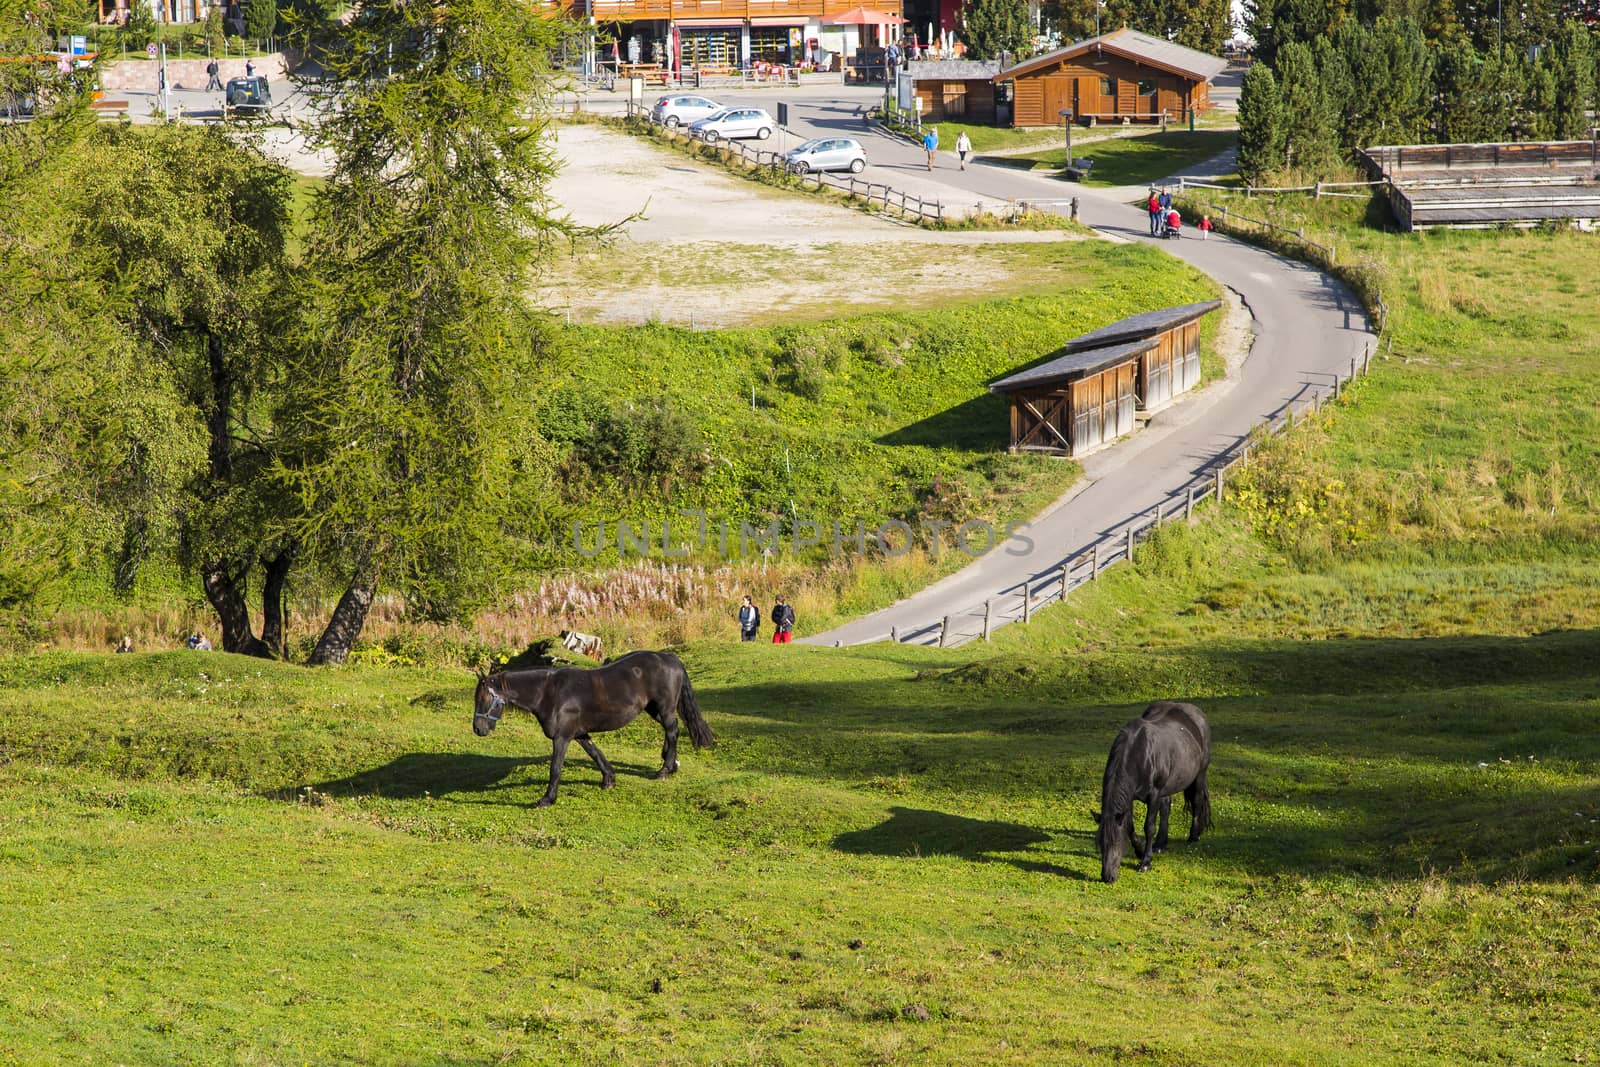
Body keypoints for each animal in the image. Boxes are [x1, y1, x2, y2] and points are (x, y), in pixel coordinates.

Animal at [470, 652, 716, 809]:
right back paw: (670, 762)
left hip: (663, 708)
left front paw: (547, 799)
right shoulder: (578, 733)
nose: (478, 729)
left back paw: (665, 769)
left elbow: (555, 768)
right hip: (653, 709)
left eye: (484, 699)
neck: (550, 693)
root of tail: (669, 657)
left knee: (673, 730)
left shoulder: (561, 738)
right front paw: (609, 779)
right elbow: (595, 753)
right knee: (670, 730)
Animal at [1094, 700, 1216, 883]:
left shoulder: (1154, 795)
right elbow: (1129, 826)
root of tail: (1197, 714)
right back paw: (1160, 843)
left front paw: (1145, 862)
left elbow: (1149, 826)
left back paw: (1193, 835)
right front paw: (1139, 850)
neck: (1139, 755)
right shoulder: (1130, 797)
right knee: (1166, 808)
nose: (1107, 877)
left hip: (1199, 775)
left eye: (1116, 842)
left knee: (1197, 801)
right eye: (1100, 844)